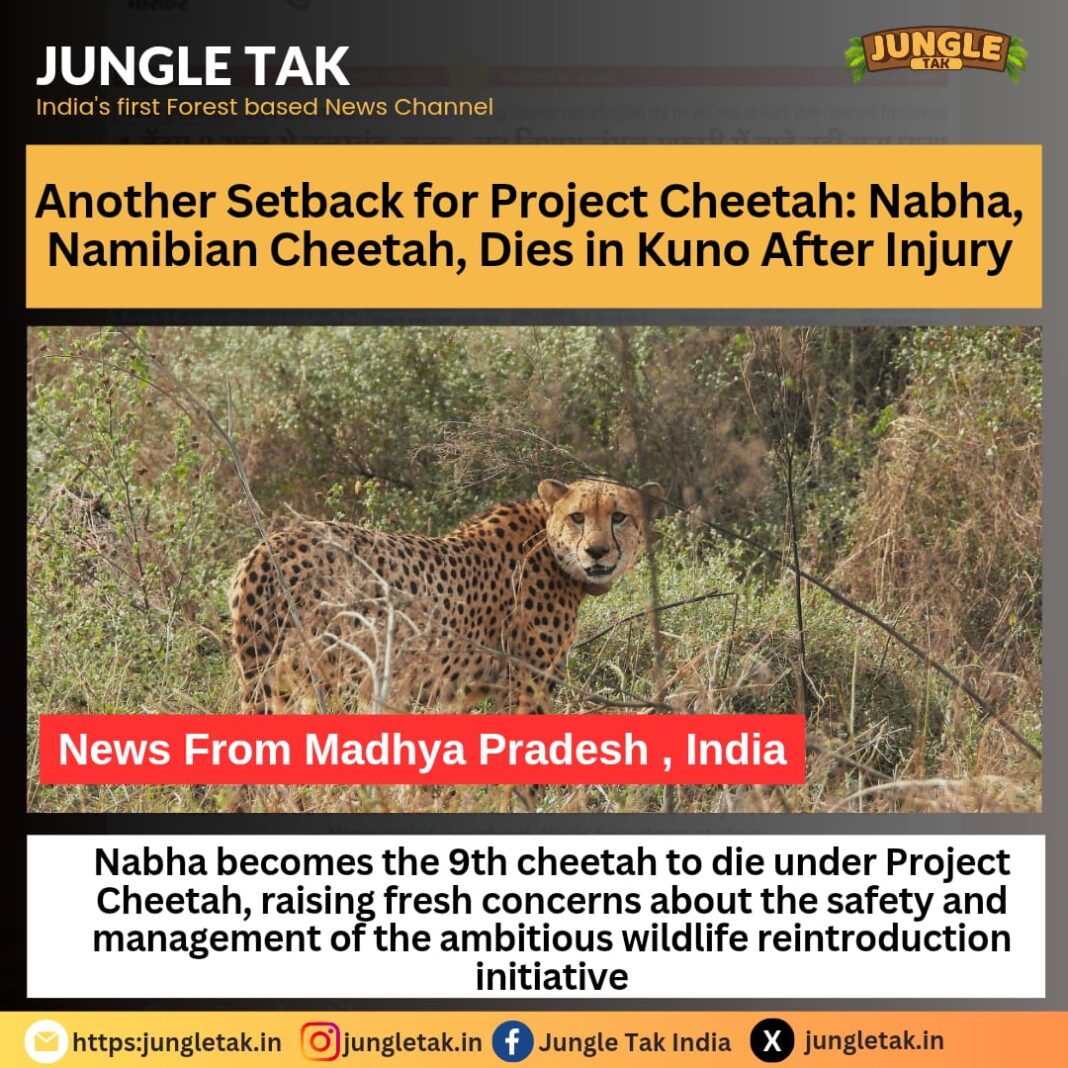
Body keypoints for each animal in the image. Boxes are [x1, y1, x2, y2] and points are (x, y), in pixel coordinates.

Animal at [229, 477, 665, 714]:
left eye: (619, 516)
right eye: (578, 517)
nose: (597, 552)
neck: (549, 543)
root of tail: (269, 546)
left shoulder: (456, 693)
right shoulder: (527, 687)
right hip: (337, 678)